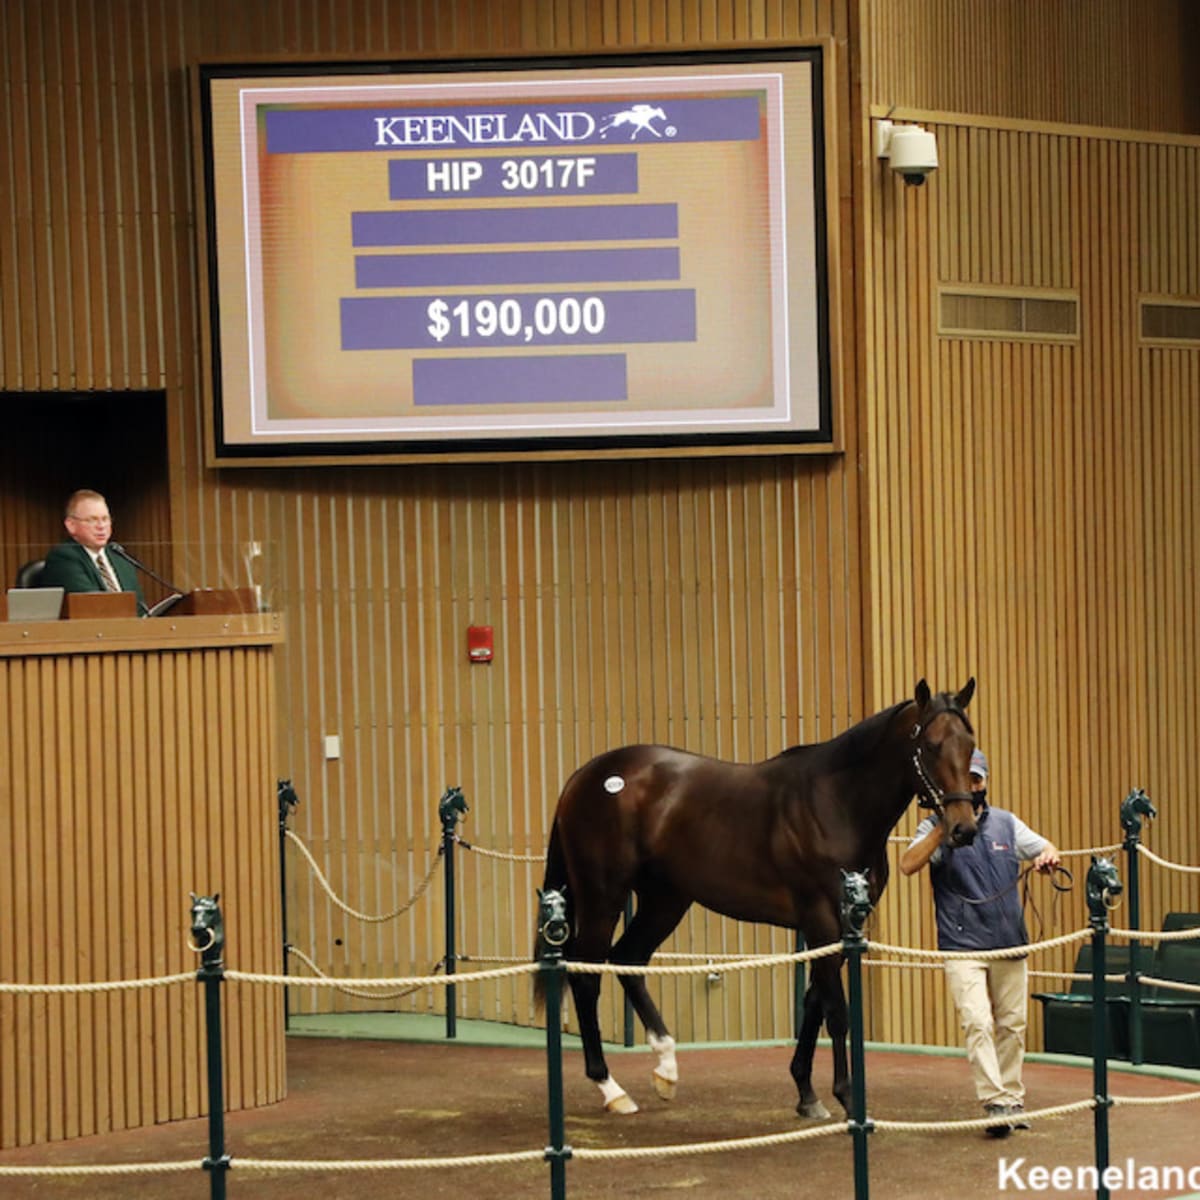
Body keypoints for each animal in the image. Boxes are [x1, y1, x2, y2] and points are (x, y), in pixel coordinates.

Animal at [534, 678, 979, 1117]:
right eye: (931, 745)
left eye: (969, 743)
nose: (964, 829)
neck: (836, 802)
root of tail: (584, 777)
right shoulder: (821, 917)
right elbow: (835, 1012)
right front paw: (848, 1097)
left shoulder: (843, 923)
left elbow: (813, 1002)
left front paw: (806, 1094)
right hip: (602, 895)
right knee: (585, 975)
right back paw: (612, 1088)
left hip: (666, 899)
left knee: (629, 959)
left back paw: (666, 1069)